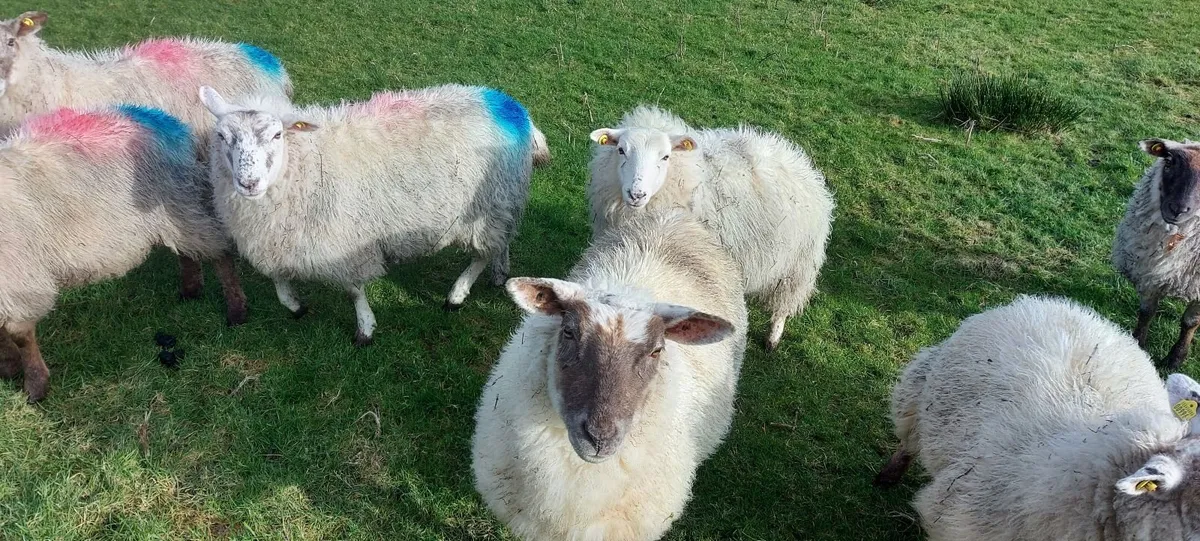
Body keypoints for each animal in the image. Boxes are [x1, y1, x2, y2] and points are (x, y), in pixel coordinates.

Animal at [0, 104, 246, 403]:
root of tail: (166, 122)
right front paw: (8, 366)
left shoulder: (20, 278)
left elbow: (20, 334)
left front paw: (35, 385)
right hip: (174, 209)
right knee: (186, 251)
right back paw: (190, 290)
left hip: (179, 199)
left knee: (218, 250)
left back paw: (236, 310)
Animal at [198, 84, 542, 345]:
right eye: (222, 137)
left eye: (277, 135)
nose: (249, 183)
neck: (304, 160)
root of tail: (510, 107)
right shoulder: (273, 238)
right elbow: (278, 281)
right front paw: (296, 307)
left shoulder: (345, 243)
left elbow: (353, 291)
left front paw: (365, 329)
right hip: (502, 201)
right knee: (501, 241)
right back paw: (500, 273)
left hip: (488, 206)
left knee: (481, 254)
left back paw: (456, 295)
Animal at [587, 105, 834, 352]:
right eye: (621, 150)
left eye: (665, 156)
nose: (637, 194)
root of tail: (794, 156)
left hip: (797, 266)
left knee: (783, 305)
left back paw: (773, 338)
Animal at [1112, 138, 1200, 369]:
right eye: (1168, 162)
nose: (1178, 209)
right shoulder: (1148, 274)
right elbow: (1146, 313)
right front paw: (1137, 345)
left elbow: (1190, 322)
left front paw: (1175, 358)